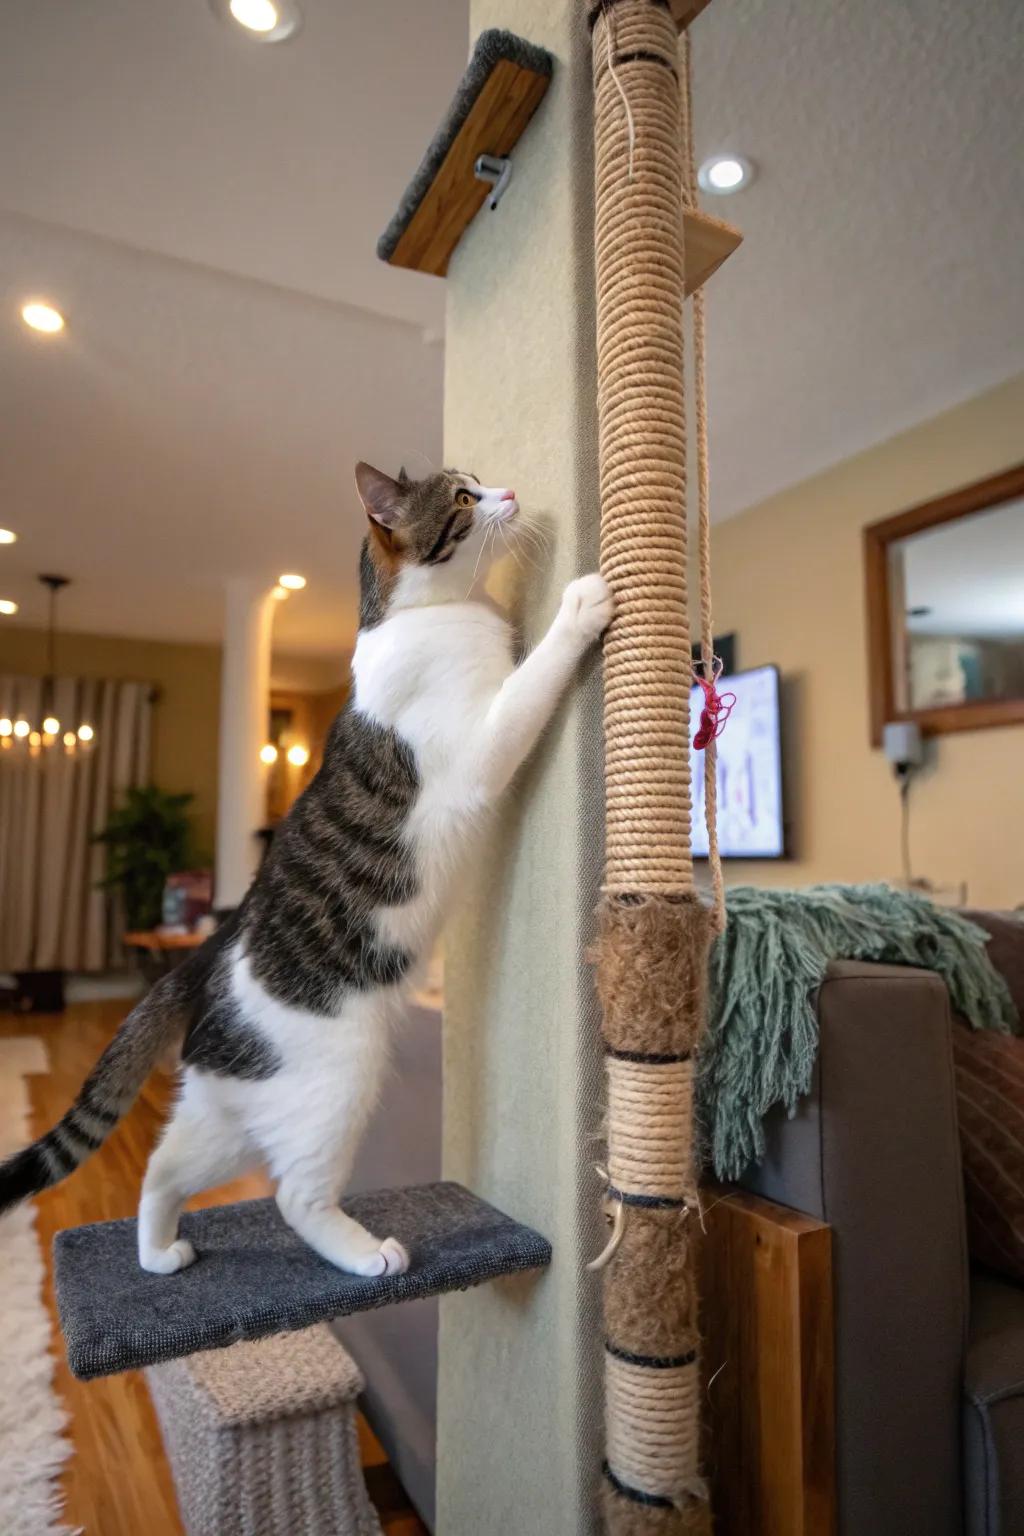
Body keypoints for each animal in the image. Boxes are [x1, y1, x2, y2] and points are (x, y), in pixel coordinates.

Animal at [0, 460, 614, 1277]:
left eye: (480, 481)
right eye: (463, 496)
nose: (509, 495)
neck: (429, 614)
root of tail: (208, 956)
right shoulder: (479, 749)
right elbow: (533, 677)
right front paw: (581, 604)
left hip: (234, 1108)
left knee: (163, 1167)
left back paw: (159, 1255)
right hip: (335, 1083)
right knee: (295, 1194)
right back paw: (366, 1255)